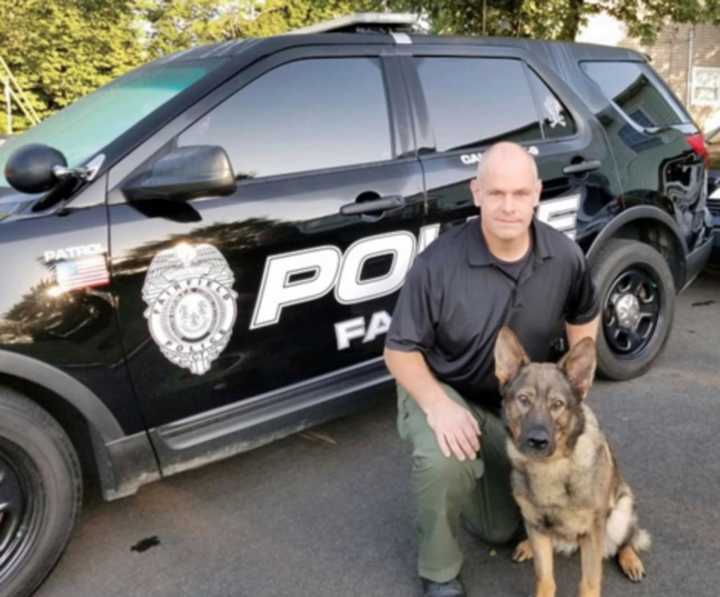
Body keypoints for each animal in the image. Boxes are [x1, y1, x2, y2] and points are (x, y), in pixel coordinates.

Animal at [492, 328, 648, 592]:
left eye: (557, 404)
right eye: (523, 400)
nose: (537, 441)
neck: (550, 467)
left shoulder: (593, 532)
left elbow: (589, 583)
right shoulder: (536, 524)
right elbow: (544, 579)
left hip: (621, 512)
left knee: (626, 541)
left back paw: (630, 559)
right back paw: (527, 545)